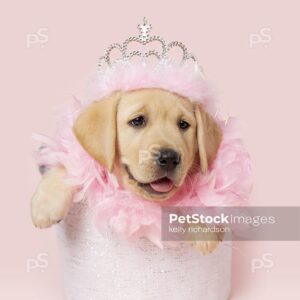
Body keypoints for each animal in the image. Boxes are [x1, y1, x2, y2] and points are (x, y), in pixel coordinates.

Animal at [31, 88, 221, 253]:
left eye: (183, 124)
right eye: (137, 121)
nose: (169, 158)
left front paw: (204, 226)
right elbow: (66, 165)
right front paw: (46, 204)